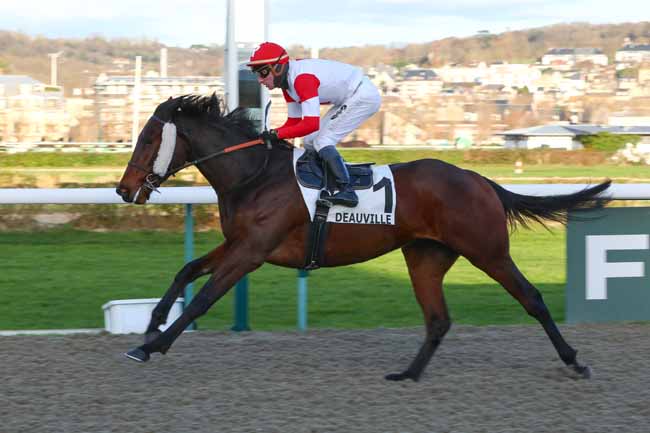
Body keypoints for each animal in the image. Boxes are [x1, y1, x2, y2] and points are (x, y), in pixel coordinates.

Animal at [116, 93, 608, 378]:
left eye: (147, 140)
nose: (123, 189)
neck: (253, 176)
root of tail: (479, 179)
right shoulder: (238, 243)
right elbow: (186, 271)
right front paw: (152, 322)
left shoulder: (252, 251)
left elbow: (203, 297)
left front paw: (152, 345)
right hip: (426, 256)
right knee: (438, 318)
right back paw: (408, 374)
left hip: (487, 250)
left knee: (532, 298)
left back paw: (574, 360)